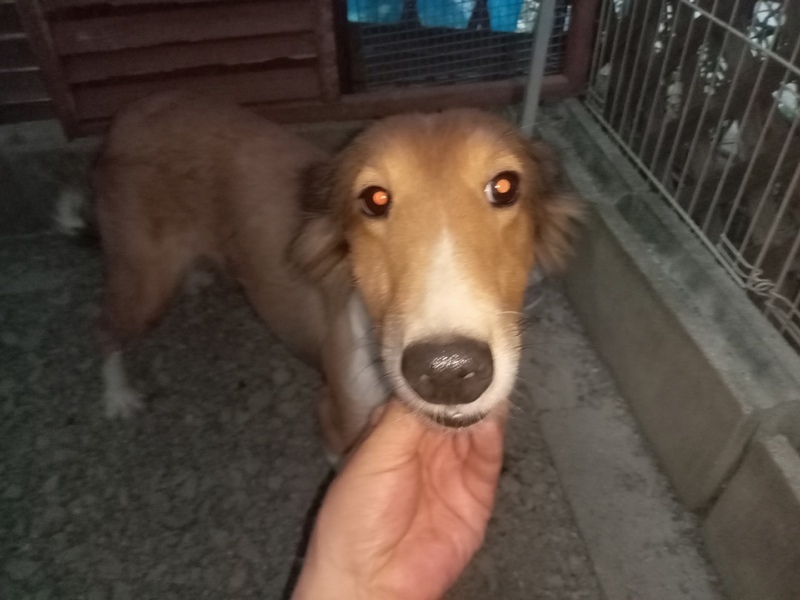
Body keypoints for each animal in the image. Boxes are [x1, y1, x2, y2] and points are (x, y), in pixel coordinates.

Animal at [87, 92, 581, 460]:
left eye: (505, 186)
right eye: (375, 198)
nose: (448, 371)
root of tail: (135, 111)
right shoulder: (337, 424)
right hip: (143, 284)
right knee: (106, 329)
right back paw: (116, 397)